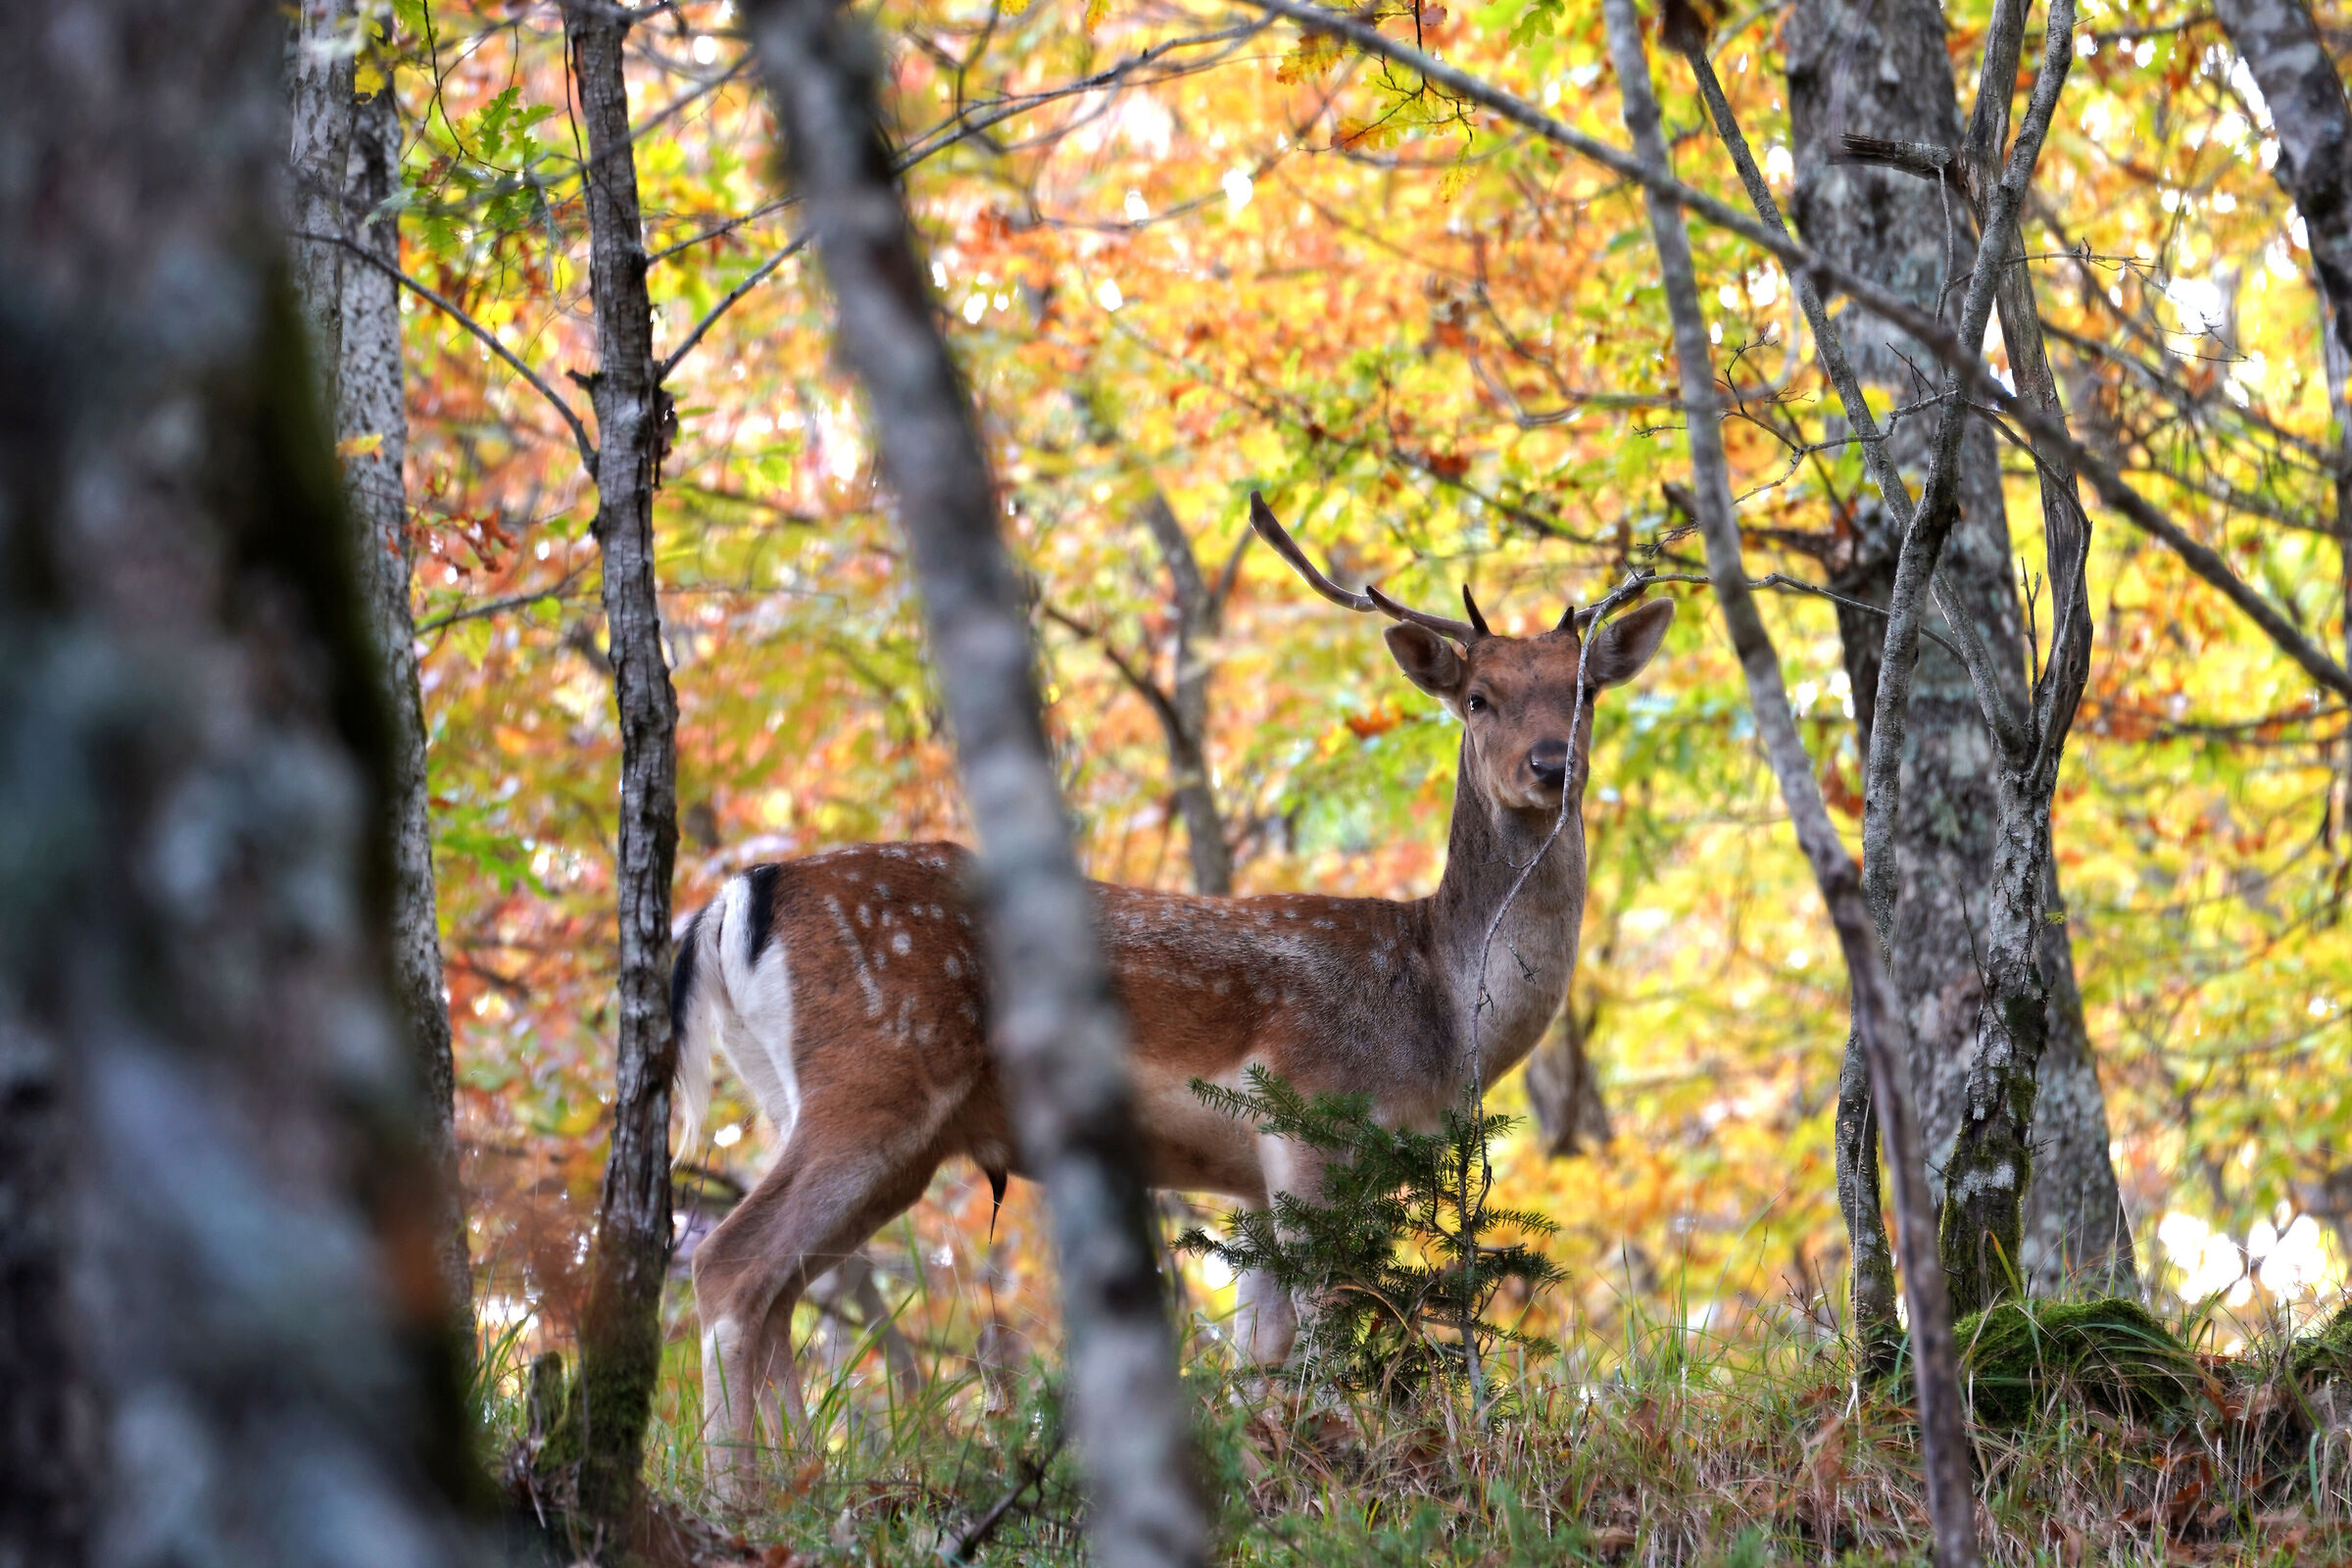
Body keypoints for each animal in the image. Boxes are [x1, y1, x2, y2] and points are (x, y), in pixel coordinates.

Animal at [669, 494, 1674, 1493]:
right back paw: (736, 1491)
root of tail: (734, 900)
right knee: (730, 1263)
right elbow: (1319, 1326)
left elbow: (1261, 1350)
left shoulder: (1255, 1180)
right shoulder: (1311, 1117)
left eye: (1584, 691)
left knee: (783, 1286)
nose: (1549, 766)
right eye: (1477, 697)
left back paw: (798, 1478)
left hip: (818, 1109)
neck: (1436, 1004)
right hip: (873, 1075)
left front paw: (1282, 1463)